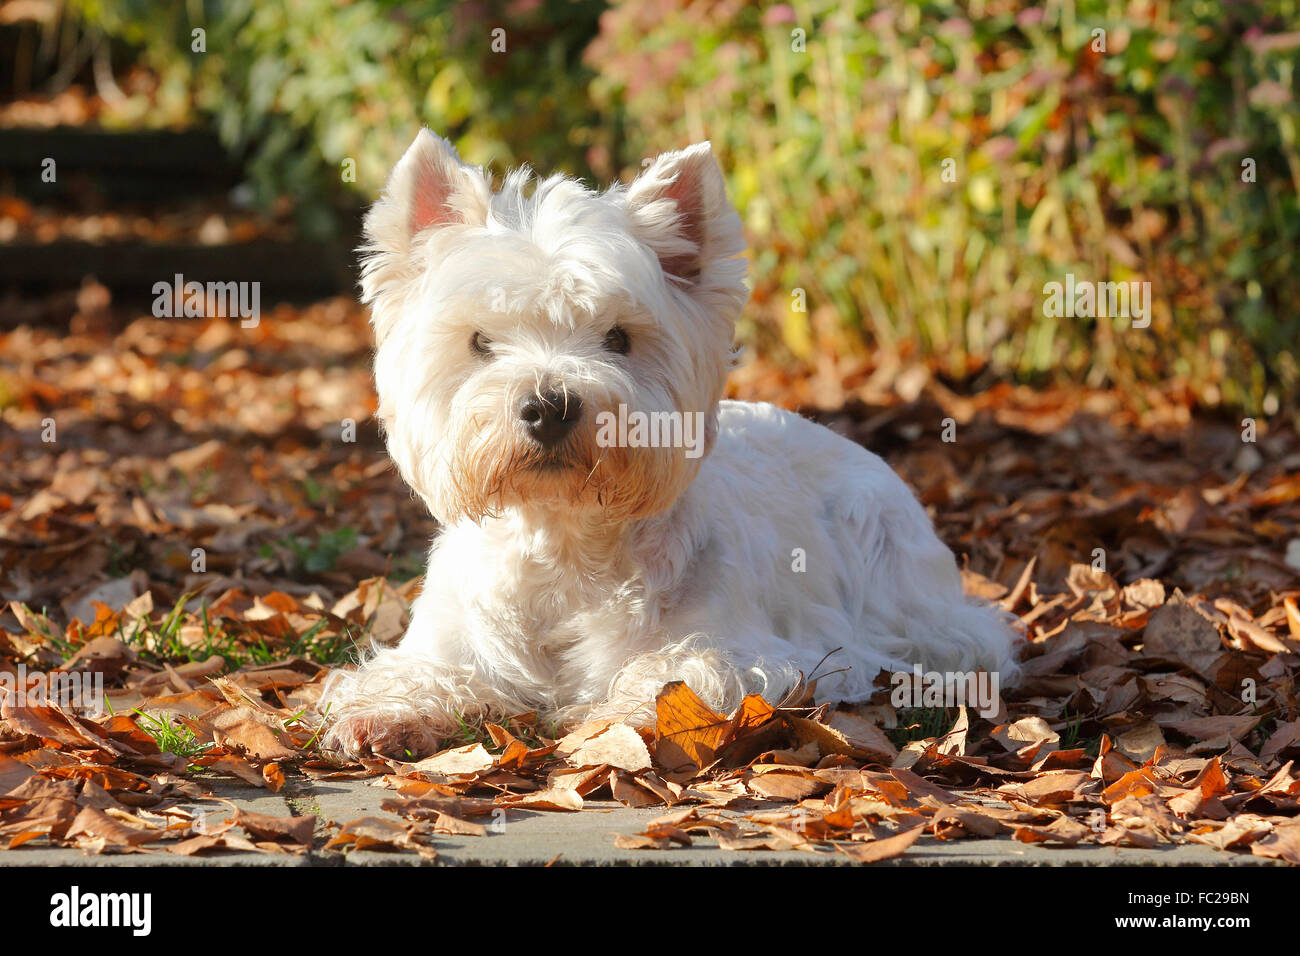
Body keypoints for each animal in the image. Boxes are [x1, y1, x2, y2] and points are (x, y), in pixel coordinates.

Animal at [319, 130, 1019, 759]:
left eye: (619, 338)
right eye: (479, 342)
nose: (549, 408)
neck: (564, 549)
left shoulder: (762, 651)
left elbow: (681, 669)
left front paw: (629, 714)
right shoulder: (447, 640)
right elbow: (418, 671)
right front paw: (383, 714)